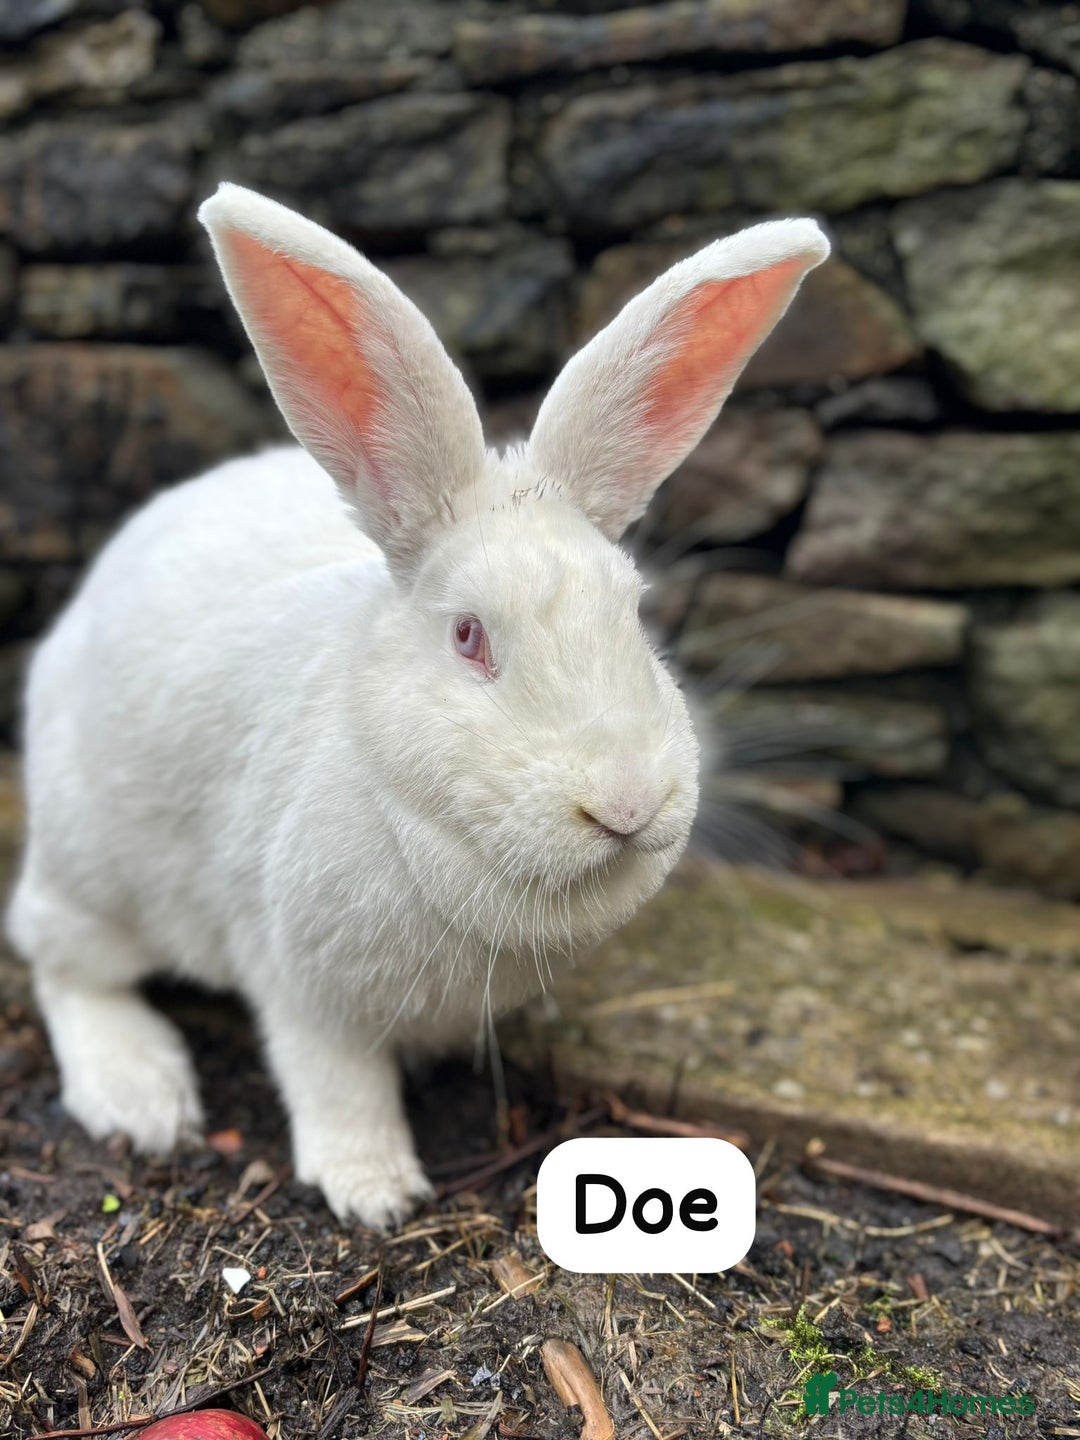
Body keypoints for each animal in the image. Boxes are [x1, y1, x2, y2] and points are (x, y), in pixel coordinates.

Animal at [6, 184, 828, 1228]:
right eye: (469, 635)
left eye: (635, 614)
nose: (627, 804)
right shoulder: (300, 981)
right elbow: (336, 1082)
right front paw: (377, 1193)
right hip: (94, 869)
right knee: (62, 963)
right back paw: (140, 1095)